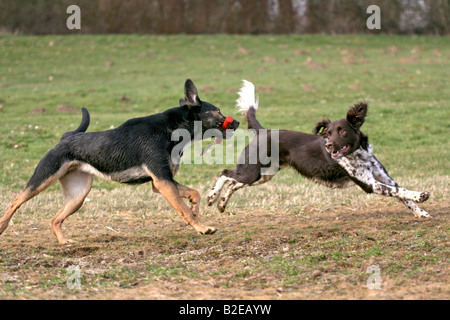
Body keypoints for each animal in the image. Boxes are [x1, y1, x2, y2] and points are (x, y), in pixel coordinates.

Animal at [0, 79, 239, 242]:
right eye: (217, 111)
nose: (236, 122)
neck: (172, 128)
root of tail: (65, 137)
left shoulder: (160, 182)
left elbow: (194, 194)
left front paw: (197, 210)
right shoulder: (162, 182)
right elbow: (184, 210)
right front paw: (202, 227)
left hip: (78, 195)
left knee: (55, 219)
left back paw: (64, 242)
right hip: (42, 179)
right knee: (15, 201)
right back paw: (3, 226)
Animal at [207, 81, 432, 219]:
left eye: (342, 131)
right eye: (328, 133)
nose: (329, 145)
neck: (358, 154)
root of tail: (264, 131)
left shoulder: (383, 177)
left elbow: (401, 194)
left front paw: (420, 212)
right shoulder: (370, 184)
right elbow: (399, 192)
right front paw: (421, 195)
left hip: (263, 175)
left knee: (233, 182)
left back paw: (221, 204)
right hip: (252, 170)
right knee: (226, 173)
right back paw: (212, 196)